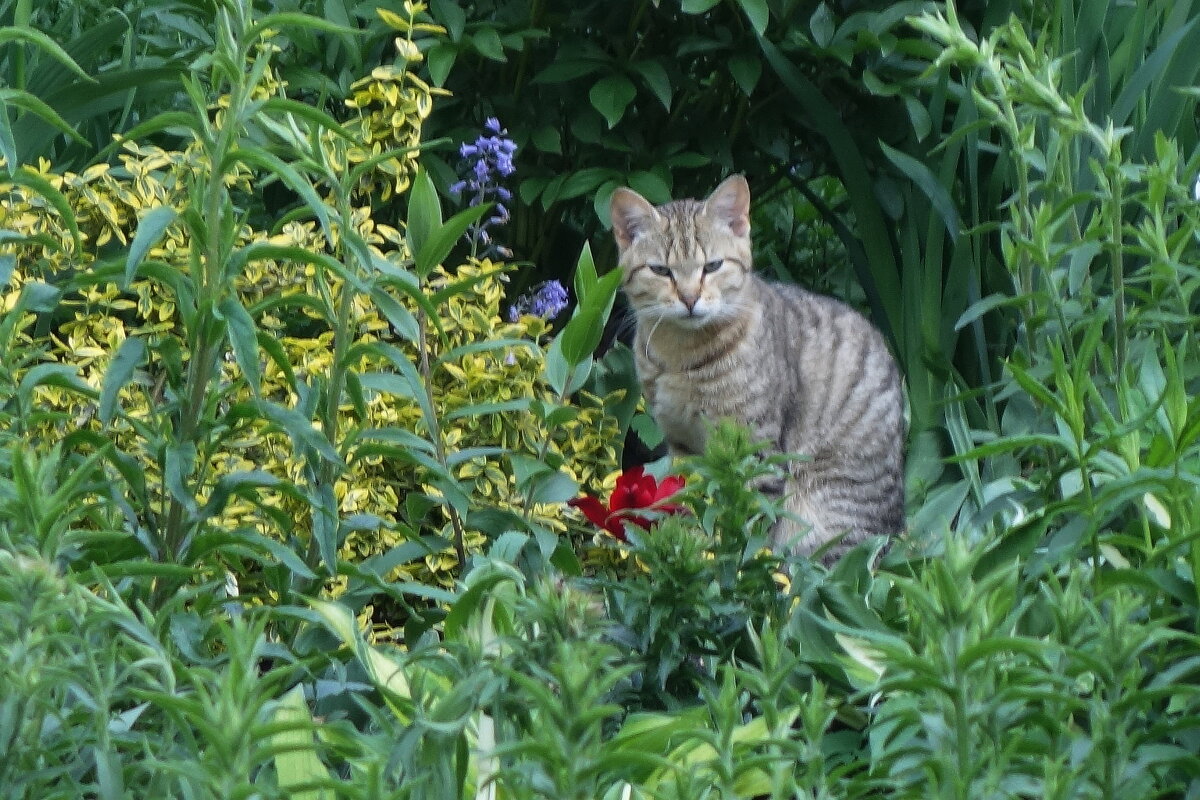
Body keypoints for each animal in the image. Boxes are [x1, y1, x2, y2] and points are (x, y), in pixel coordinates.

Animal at [614, 176, 902, 563]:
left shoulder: (753, 447)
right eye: (660, 270)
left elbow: (745, 522)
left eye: (712, 266)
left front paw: (731, 559)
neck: (682, 357)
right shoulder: (683, 445)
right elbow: (692, 501)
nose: (689, 298)